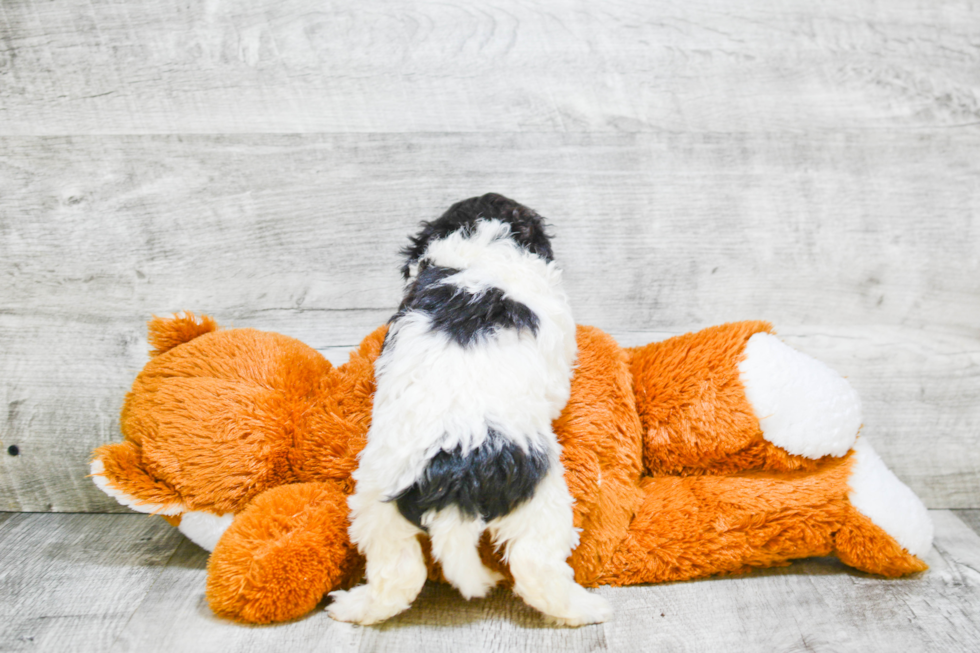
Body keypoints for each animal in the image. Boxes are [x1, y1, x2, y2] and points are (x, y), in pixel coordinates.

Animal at [330, 194, 612, 628]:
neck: (481, 246)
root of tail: (453, 478)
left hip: (378, 506)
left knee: (397, 574)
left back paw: (352, 607)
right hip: (539, 500)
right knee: (536, 567)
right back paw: (587, 609)